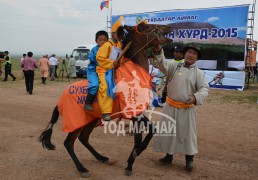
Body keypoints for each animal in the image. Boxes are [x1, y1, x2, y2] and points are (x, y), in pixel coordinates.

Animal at [37, 22, 171, 177]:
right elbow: (138, 139)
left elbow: (152, 130)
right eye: (146, 26)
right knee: (69, 143)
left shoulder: (138, 112)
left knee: (83, 138)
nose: (169, 27)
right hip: (76, 121)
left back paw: (100, 157)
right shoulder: (133, 114)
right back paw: (82, 168)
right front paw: (131, 162)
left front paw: (131, 160)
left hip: (91, 119)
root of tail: (61, 97)